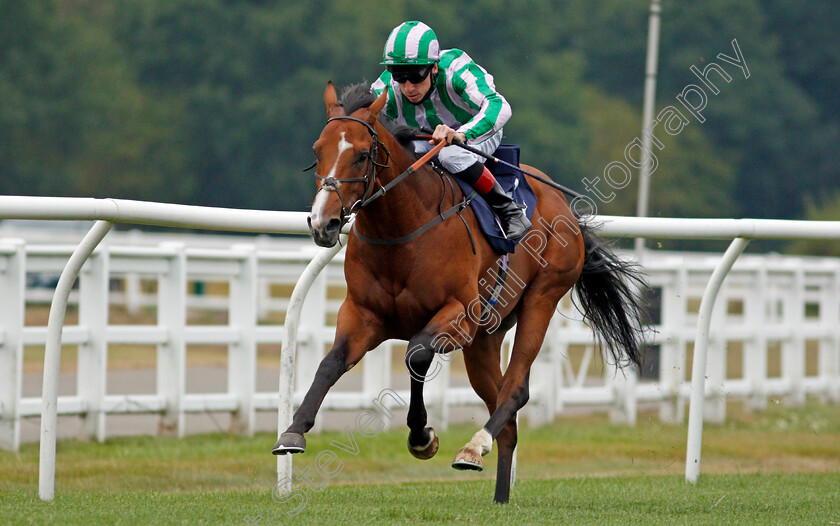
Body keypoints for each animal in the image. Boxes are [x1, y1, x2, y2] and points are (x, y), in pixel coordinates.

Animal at [272, 80, 648, 506]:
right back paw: (500, 495)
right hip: (487, 337)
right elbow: (330, 363)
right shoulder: (362, 315)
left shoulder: (459, 316)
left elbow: (416, 354)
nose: (324, 223)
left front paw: (422, 437)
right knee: (506, 415)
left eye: (363, 155)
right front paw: (293, 431)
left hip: (541, 298)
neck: (402, 231)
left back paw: (474, 446)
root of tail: (566, 208)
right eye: (317, 150)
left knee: (515, 391)